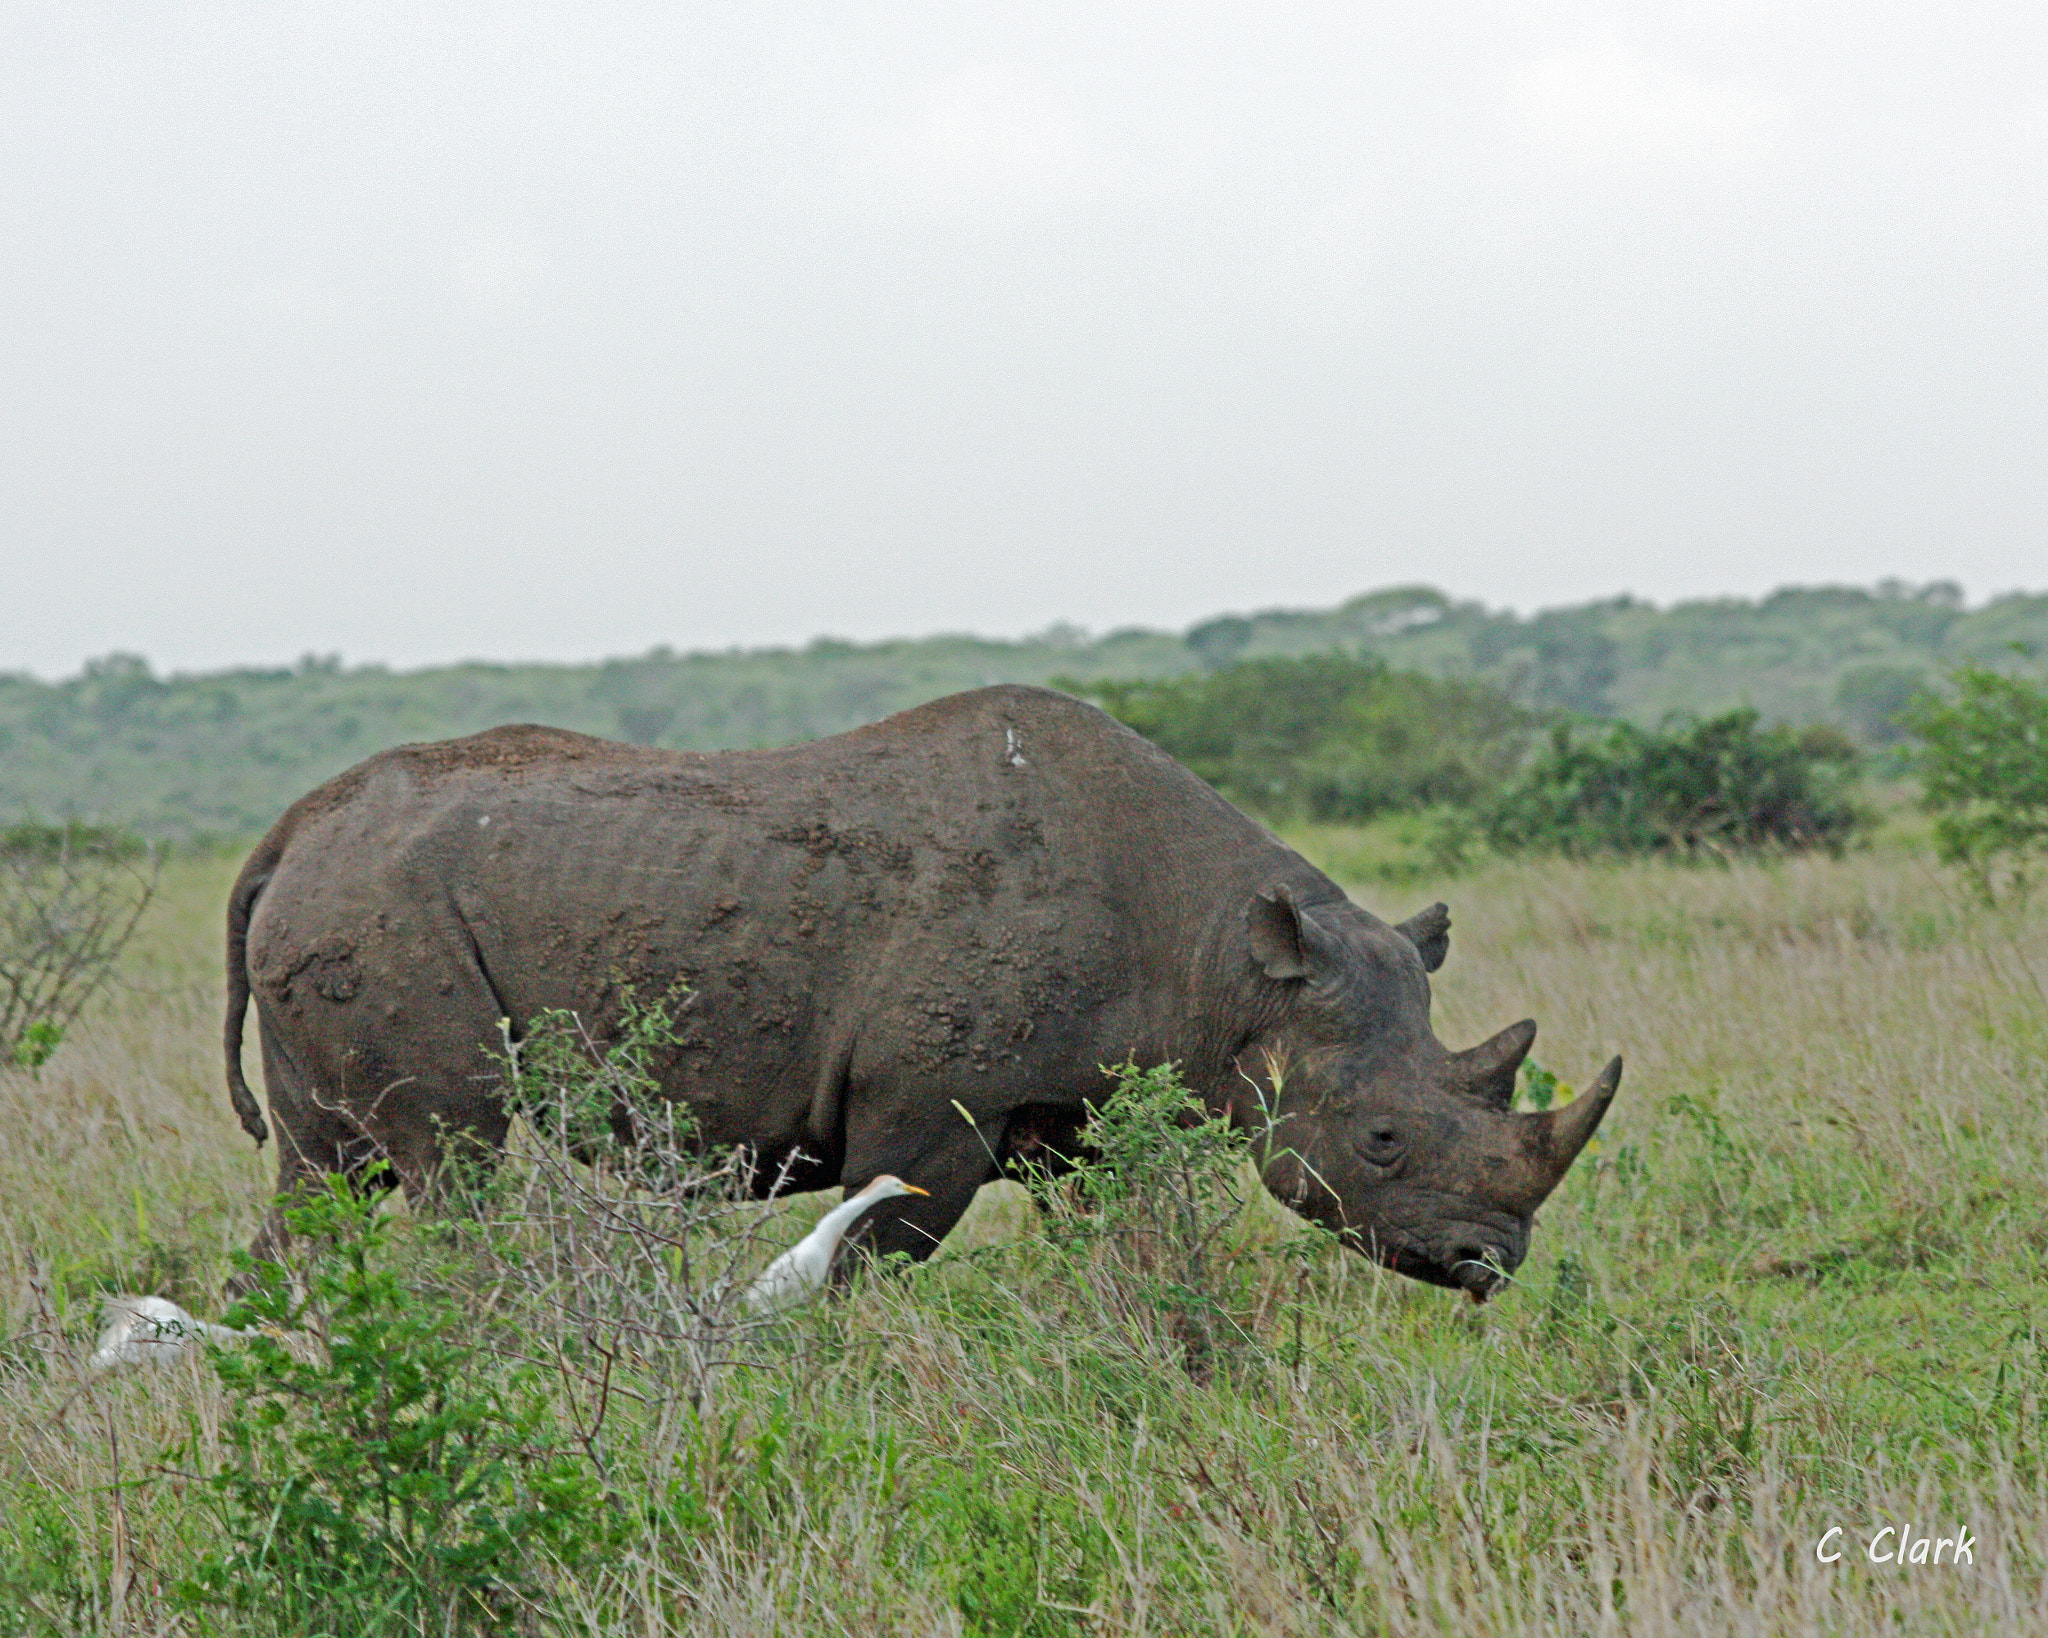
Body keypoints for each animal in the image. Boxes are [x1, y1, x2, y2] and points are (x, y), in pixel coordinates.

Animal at [224, 684, 1620, 1298]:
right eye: (1378, 1139)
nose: (1489, 1265)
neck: (1229, 962)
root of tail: (291, 831)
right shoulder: (926, 1105)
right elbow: (864, 1259)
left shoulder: (1080, 1107)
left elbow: (1116, 1238)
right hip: (380, 912)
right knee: (451, 1160)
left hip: (345, 905)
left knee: (327, 1174)